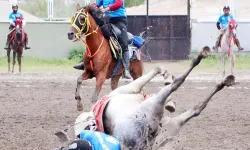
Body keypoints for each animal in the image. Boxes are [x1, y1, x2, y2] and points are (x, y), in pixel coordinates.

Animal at [55, 46, 235, 149]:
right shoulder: (131, 89)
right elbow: (157, 74)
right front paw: (166, 77)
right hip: (157, 109)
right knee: (180, 89)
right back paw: (209, 65)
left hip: (171, 123)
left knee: (195, 108)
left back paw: (223, 79)